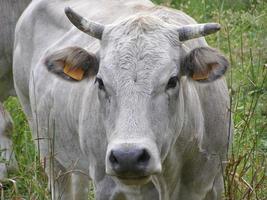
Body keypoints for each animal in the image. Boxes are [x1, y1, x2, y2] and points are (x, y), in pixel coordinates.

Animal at [13, 0, 232, 199]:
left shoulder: (214, 183)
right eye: (100, 82)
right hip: (48, 150)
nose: (128, 157)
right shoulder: (107, 186)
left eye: (172, 81)